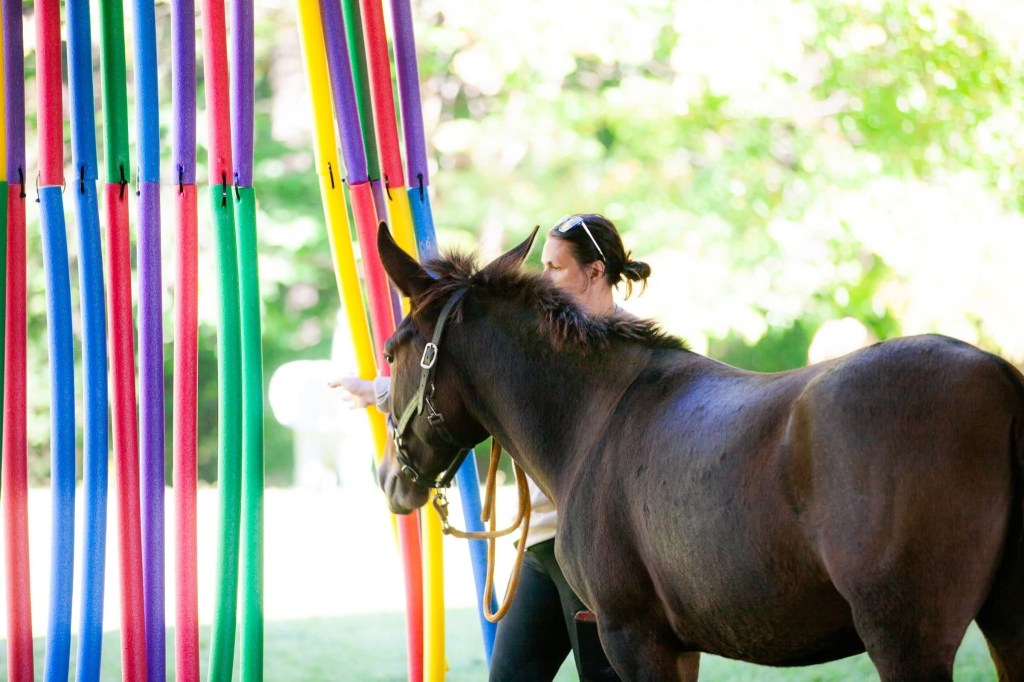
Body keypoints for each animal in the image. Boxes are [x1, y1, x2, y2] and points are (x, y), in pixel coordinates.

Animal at [374, 223, 1024, 681]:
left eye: (392, 350)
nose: (387, 478)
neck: (593, 419)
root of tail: (1000, 378)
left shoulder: (635, 638)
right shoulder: (676, 647)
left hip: (906, 640)